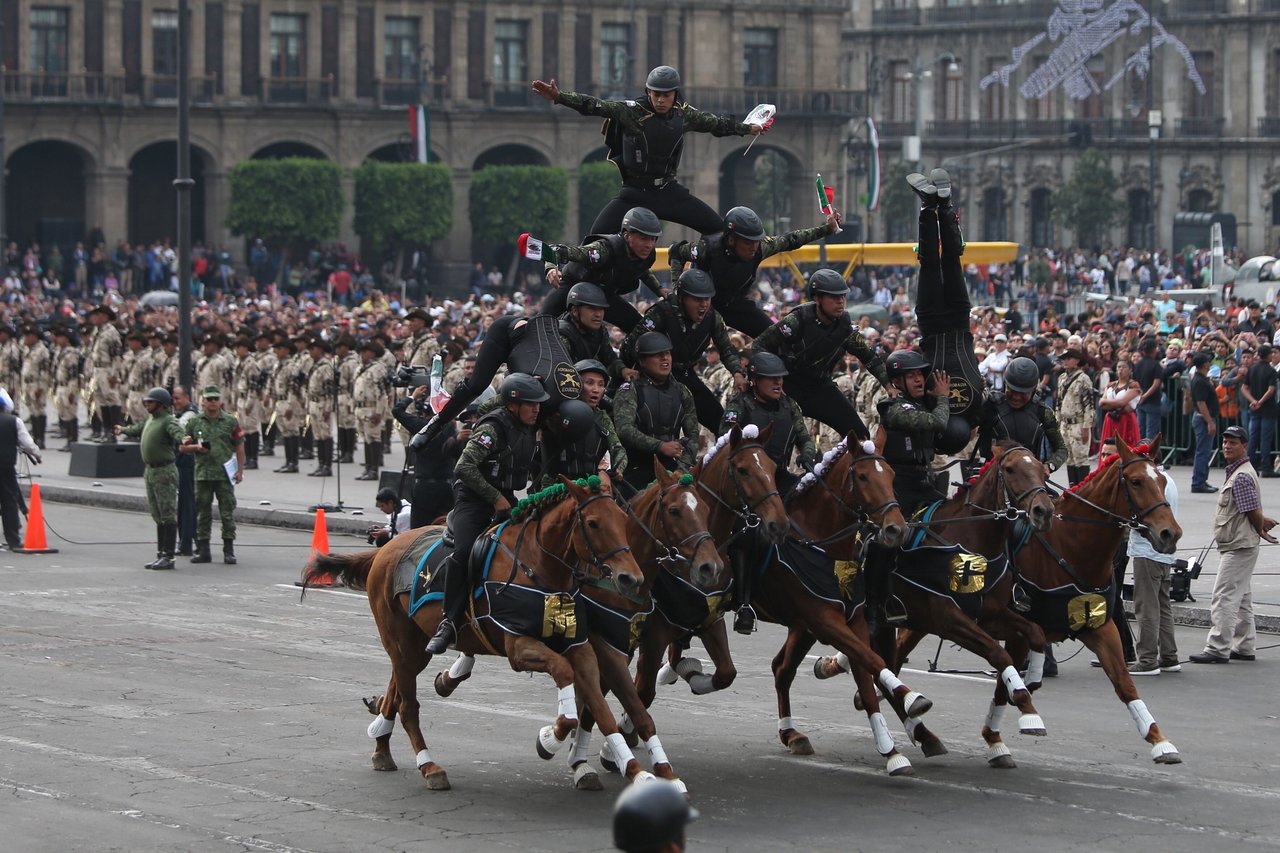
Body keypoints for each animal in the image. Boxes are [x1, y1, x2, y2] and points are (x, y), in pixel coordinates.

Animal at [302, 473, 650, 788]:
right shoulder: (518, 648)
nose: (631, 578)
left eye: (622, 519)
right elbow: (566, 679)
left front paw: (636, 770)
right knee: (408, 706)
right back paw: (429, 766)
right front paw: (551, 737)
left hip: (415, 646)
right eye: (592, 523)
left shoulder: (580, 646)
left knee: (398, 692)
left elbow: (601, 708)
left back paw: (383, 749)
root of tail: (386, 549)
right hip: (401, 644)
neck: (536, 566)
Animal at [824, 445, 1054, 753]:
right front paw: (1023, 701)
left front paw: (1032, 683)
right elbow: (998, 652)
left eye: (1042, 469)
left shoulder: (989, 614)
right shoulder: (950, 621)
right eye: (1011, 469)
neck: (970, 540)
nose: (1044, 511)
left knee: (885, 666)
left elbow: (1035, 631)